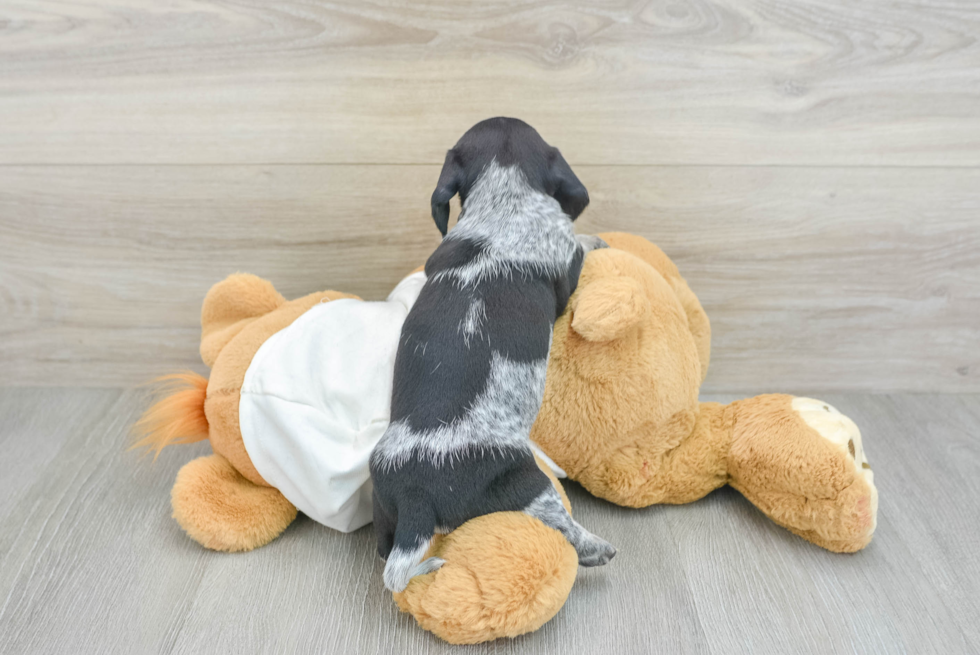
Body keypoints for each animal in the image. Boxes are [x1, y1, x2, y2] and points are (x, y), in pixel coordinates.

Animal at [372, 118, 616, 596]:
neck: (504, 204)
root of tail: (415, 494)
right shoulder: (564, 258)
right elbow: (579, 245)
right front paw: (596, 238)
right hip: (525, 482)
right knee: (562, 525)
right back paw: (597, 547)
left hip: (383, 504)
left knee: (384, 554)